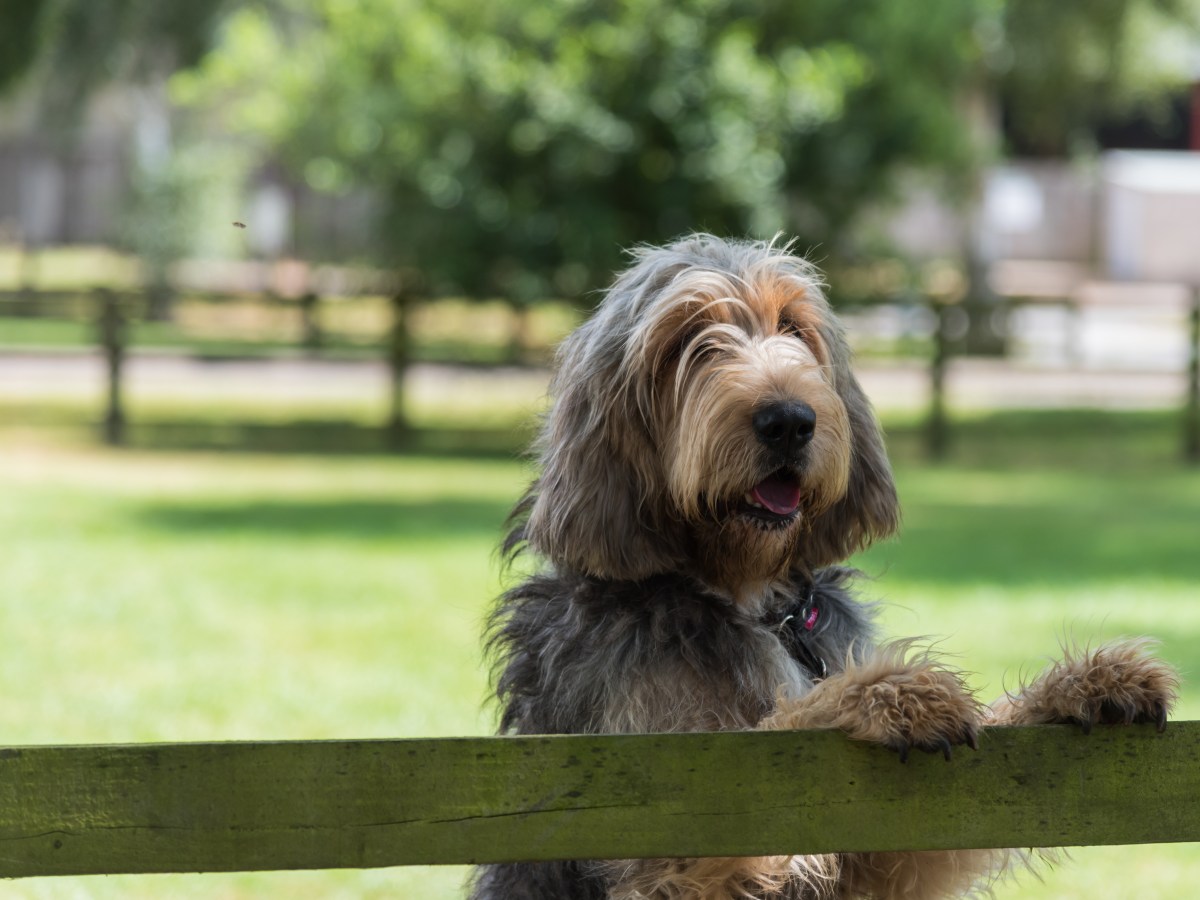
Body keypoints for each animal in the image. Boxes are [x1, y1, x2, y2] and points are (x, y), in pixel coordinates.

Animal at [470, 236, 1180, 897]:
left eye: (793, 326)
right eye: (687, 341)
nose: (789, 420)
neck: (751, 598)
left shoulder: (884, 852)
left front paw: (1084, 683)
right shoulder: (665, 817)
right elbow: (779, 727)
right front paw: (886, 694)